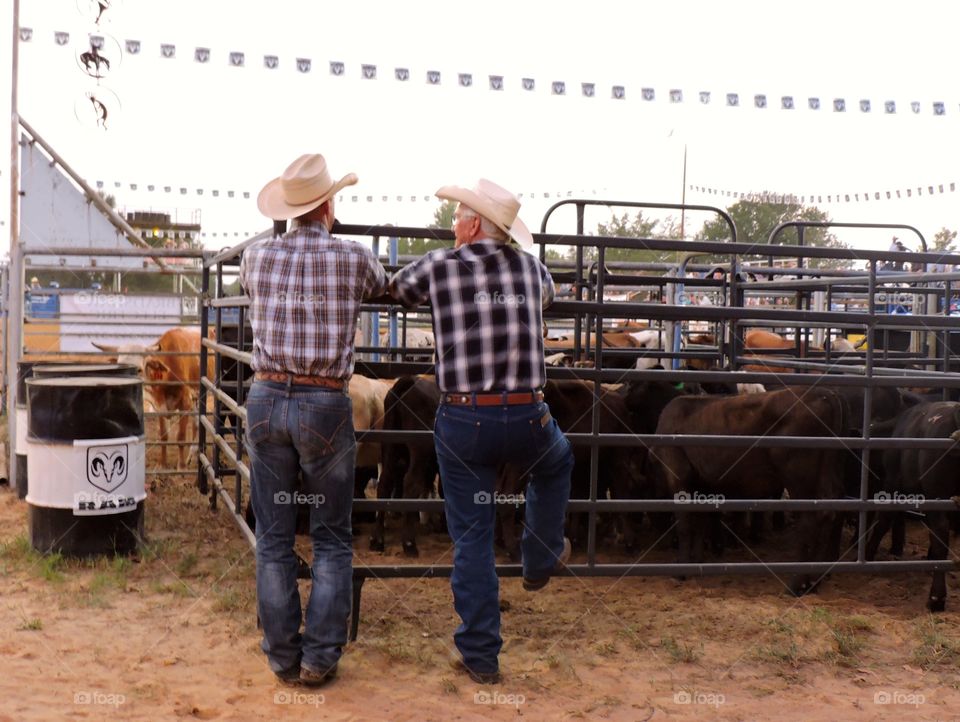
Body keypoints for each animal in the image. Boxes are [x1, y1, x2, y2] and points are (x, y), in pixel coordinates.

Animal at [370, 374, 440, 556]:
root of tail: (411, 380)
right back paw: (409, 543)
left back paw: (377, 539)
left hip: (390, 446)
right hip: (420, 449)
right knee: (411, 482)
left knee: (385, 483)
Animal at [652, 386, 848, 592]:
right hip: (829, 471)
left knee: (809, 519)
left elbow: (685, 525)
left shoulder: (676, 474)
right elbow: (700, 523)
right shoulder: (703, 481)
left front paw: (680, 570)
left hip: (800, 476)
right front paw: (697, 562)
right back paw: (815, 579)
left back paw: (797, 583)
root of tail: (825, 394)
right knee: (829, 510)